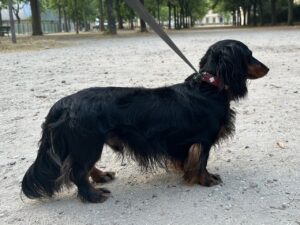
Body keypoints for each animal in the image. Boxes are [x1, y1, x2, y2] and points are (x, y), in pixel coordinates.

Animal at [21, 39, 270, 203]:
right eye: (249, 54)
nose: (267, 68)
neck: (208, 87)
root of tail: (63, 103)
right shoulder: (204, 140)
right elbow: (201, 162)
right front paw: (206, 179)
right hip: (88, 143)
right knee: (77, 172)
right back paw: (93, 194)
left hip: (89, 144)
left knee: (82, 167)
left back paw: (101, 176)